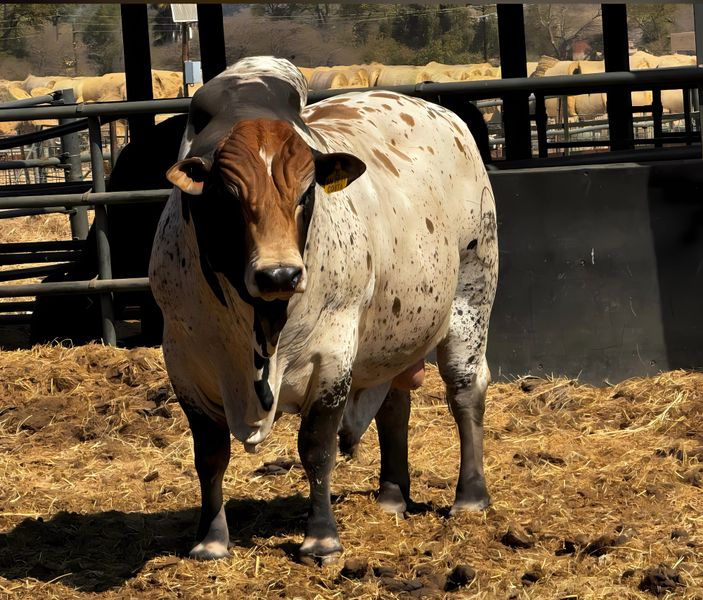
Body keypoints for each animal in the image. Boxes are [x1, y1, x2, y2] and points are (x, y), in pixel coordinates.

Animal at [149, 56, 498, 565]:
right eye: (228, 196)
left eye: (306, 192)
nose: (279, 275)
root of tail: (442, 114)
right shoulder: (185, 361)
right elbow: (210, 454)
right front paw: (210, 540)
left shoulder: (332, 357)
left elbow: (316, 447)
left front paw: (321, 538)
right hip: (388, 332)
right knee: (395, 402)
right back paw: (392, 495)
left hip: (472, 296)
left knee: (465, 392)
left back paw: (470, 497)